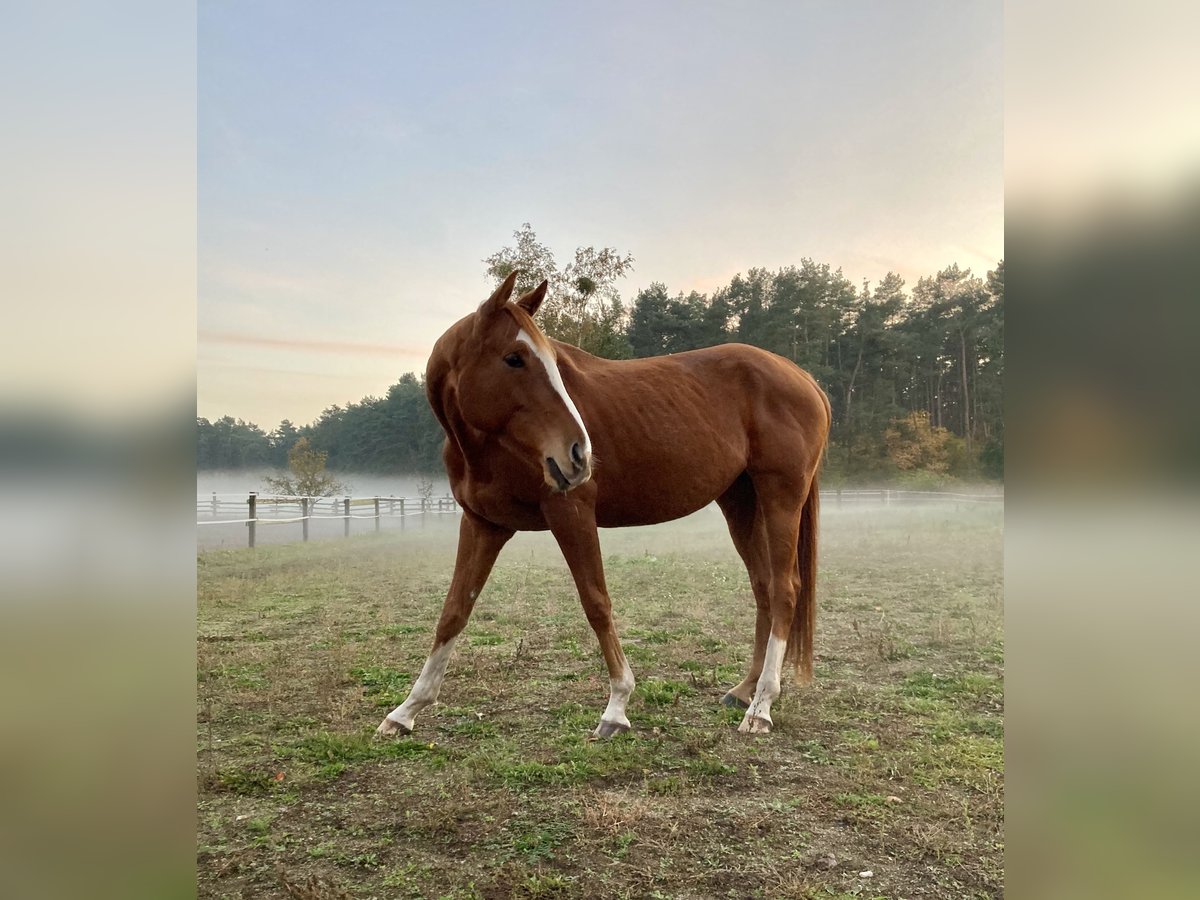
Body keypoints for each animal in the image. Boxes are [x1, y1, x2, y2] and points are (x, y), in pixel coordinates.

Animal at [379, 270, 830, 739]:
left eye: (547, 361)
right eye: (514, 358)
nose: (579, 454)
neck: (487, 448)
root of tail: (804, 378)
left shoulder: (571, 514)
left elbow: (596, 603)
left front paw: (617, 706)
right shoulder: (482, 525)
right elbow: (453, 611)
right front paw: (406, 710)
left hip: (781, 497)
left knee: (785, 589)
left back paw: (761, 706)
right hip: (740, 502)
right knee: (763, 586)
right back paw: (744, 690)